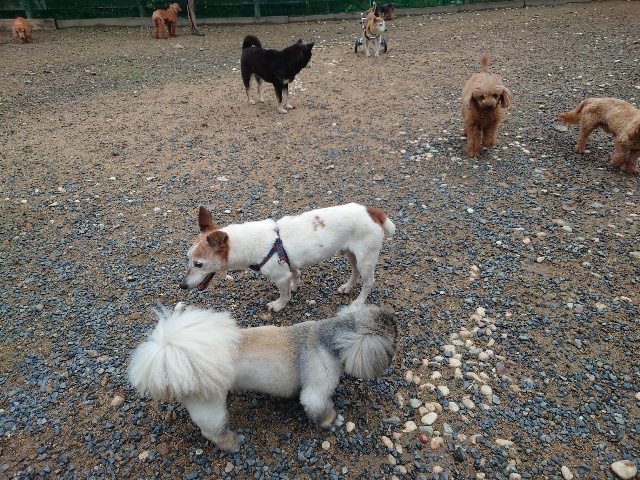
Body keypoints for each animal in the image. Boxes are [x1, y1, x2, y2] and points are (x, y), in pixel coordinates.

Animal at [129, 304, 397, 452]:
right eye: (390, 341)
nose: (397, 327)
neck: (328, 338)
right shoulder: (317, 392)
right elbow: (320, 408)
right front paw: (332, 421)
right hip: (211, 409)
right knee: (214, 432)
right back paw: (232, 442)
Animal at [179, 203, 395, 312]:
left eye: (198, 264)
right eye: (187, 258)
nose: (182, 285)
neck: (247, 242)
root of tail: (374, 212)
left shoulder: (280, 276)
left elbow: (283, 295)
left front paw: (278, 305)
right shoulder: (289, 265)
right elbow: (296, 275)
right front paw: (295, 287)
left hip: (366, 258)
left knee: (368, 281)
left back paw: (359, 302)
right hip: (351, 254)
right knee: (355, 271)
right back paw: (347, 288)